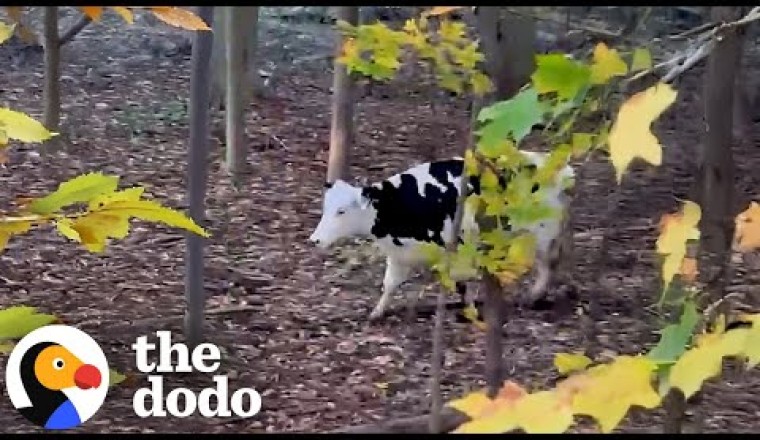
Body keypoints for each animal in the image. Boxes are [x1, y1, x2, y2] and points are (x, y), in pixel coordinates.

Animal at [308, 151, 576, 321]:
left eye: (341, 211)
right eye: (325, 207)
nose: (315, 240)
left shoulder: (459, 249)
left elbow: (461, 282)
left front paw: (469, 312)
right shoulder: (399, 255)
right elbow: (389, 284)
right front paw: (377, 312)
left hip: (542, 233)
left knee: (547, 264)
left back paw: (534, 296)